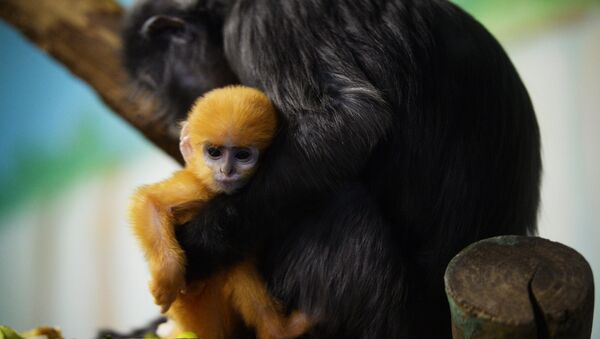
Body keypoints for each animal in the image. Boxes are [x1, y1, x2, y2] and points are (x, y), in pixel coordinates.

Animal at [130, 86, 310, 338]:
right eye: (214, 152)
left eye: (242, 155)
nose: (227, 171)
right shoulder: (197, 187)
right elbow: (150, 202)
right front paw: (167, 279)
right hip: (197, 316)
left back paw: (280, 330)